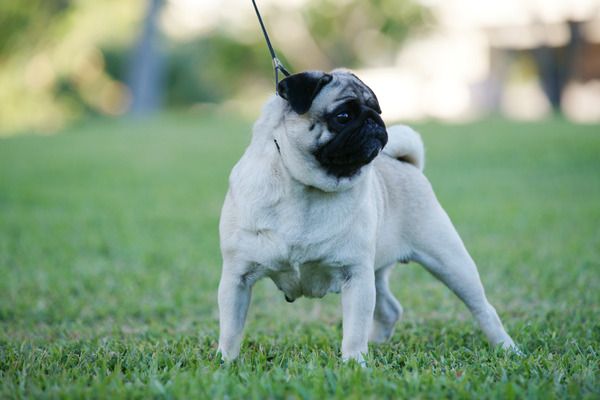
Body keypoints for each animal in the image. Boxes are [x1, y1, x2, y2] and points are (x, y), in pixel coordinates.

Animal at [217, 69, 517, 363]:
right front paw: (225, 363)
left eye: (378, 110)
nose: (374, 121)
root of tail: (405, 164)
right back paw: (378, 345)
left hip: (449, 260)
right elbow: (231, 328)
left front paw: (354, 364)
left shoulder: (356, 275)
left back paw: (507, 348)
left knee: (482, 308)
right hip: (379, 272)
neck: (304, 187)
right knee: (390, 309)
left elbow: (354, 330)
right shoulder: (237, 277)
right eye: (343, 116)